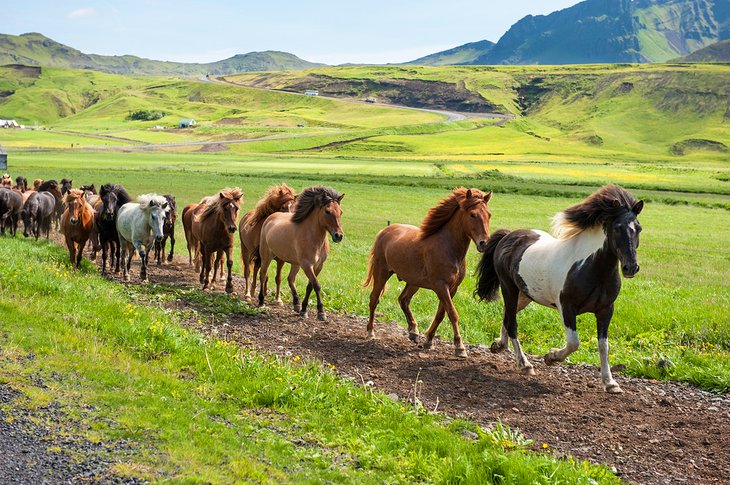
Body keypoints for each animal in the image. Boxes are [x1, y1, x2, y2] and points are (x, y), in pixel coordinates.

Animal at [258, 185, 344, 322]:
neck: (313, 237)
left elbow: (310, 286)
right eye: (327, 211)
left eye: (340, 212)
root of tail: (270, 217)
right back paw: (261, 301)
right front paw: (321, 312)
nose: (338, 236)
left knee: (290, 279)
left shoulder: (318, 266)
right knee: (263, 274)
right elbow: (316, 285)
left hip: (295, 263)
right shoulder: (307, 265)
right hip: (267, 256)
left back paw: (296, 304)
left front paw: (303, 310)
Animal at [362, 187, 490, 358]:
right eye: (473, 214)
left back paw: (414, 332)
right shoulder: (441, 286)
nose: (484, 243)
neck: (448, 246)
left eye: (489, 215)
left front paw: (428, 340)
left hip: (413, 282)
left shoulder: (452, 289)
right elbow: (452, 313)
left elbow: (441, 314)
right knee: (374, 299)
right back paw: (371, 332)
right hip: (381, 273)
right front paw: (459, 347)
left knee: (403, 300)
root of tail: (384, 231)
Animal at [474, 185, 640, 394]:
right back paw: (525, 365)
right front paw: (551, 357)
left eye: (638, 228)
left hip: (525, 294)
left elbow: (604, 346)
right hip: (508, 288)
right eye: (617, 228)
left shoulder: (605, 310)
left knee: (507, 315)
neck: (591, 267)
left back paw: (499, 345)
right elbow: (574, 343)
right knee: (512, 323)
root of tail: (508, 236)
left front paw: (611, 383)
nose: (631, 267)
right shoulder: (567, 308)